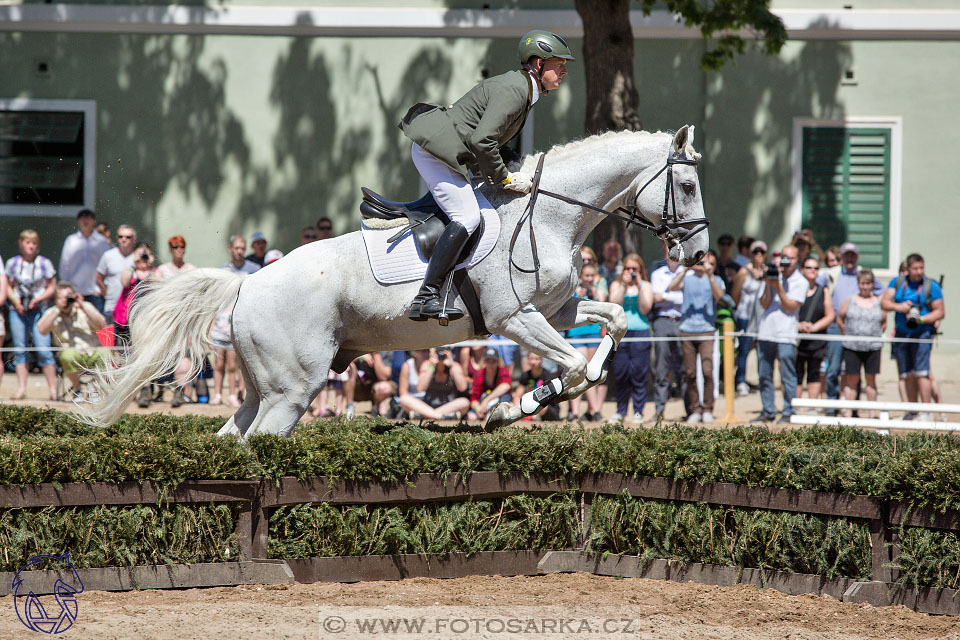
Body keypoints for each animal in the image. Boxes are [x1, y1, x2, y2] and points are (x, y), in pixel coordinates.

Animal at [86, 125, 708, 436]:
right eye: (690, 186)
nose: (699, 254)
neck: (549, 214)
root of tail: (248, 283)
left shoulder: (555, 312)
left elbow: (613, 327)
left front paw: (521, 405)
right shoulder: (514, 318)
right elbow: (577, 365)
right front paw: (516, 407)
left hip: (266, 387)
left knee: (233, 437)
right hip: (293, 390)